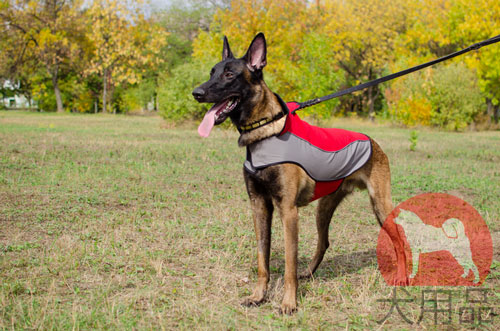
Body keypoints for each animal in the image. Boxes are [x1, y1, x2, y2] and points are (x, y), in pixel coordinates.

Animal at [191, 34, 406, 316]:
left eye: (229, 75)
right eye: (212, 72)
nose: (196, 93)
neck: (265, 131)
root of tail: (372, 140)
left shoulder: (288, 211)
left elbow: (289, 263)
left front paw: (288, 302)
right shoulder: (259, 206)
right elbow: (262, 259)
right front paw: (258, 296)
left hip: (380, 204)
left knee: (399, 237)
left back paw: (402, 276)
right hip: (324, 208)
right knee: (324, 242)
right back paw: (310, 273)